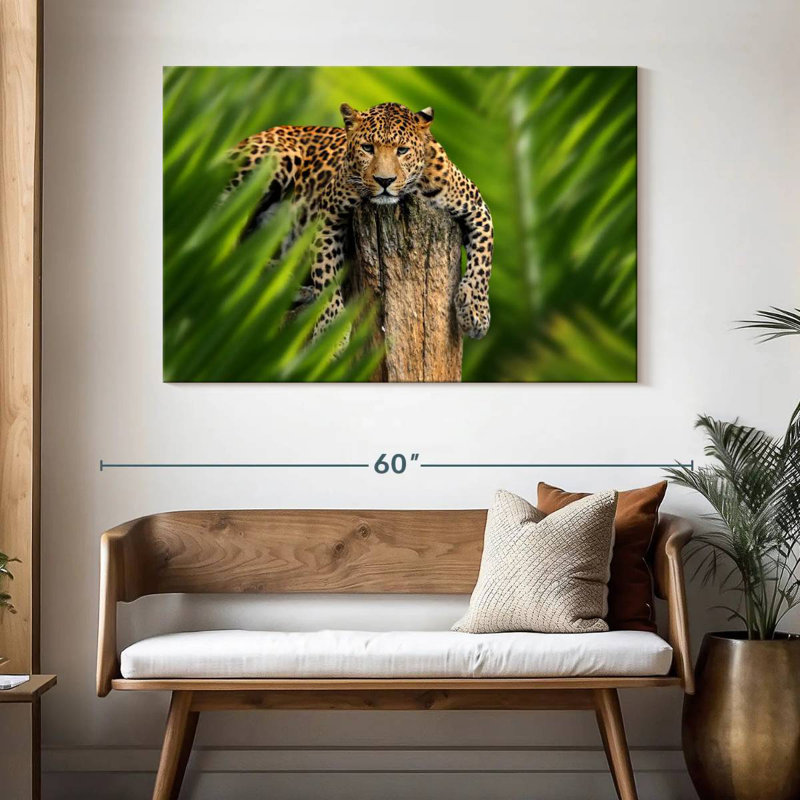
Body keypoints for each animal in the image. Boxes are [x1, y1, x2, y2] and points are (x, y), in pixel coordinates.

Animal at [226, 102, 493, 340]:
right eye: (367, 148)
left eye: (402, 150)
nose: (384, 180)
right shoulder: (327, 216)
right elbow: (326, 273)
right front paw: (331, 331)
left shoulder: (476, 207)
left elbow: (483, 260)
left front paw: (475, 312)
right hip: (273, 160)